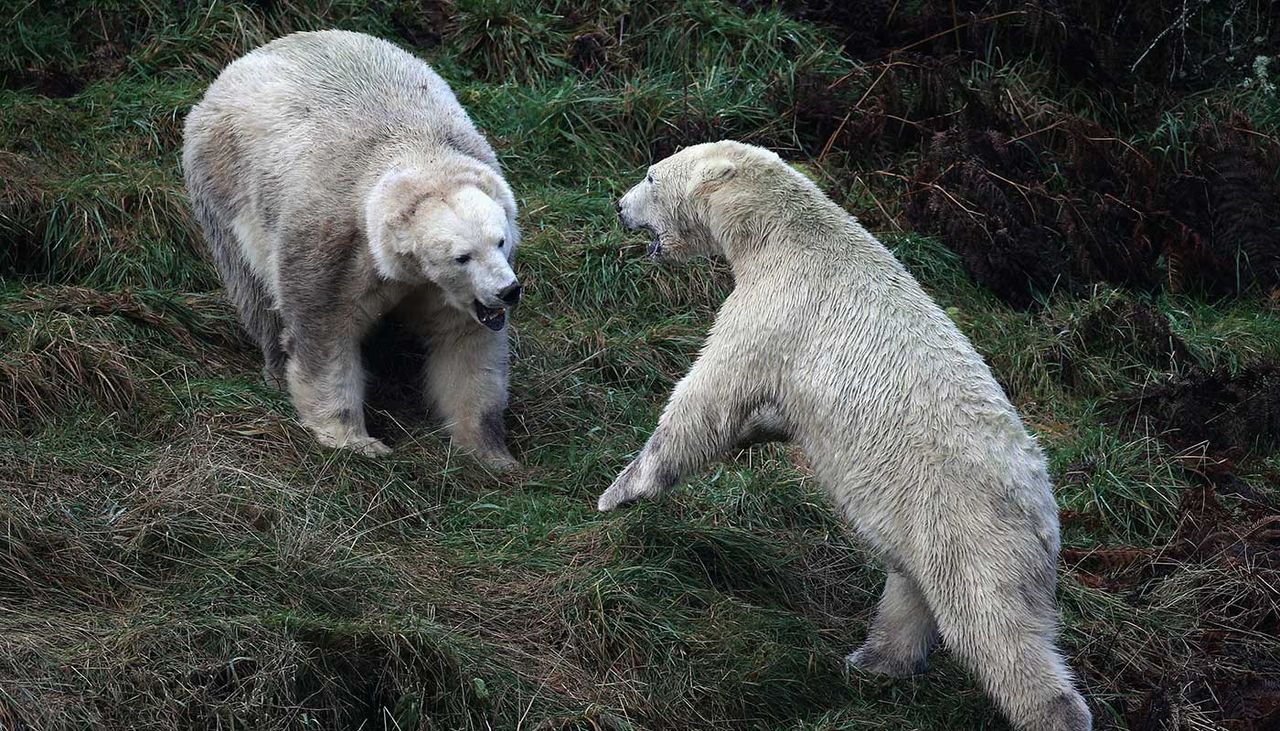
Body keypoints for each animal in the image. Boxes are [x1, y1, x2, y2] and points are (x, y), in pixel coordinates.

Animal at [184, 31, 519, 465]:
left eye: (500, 240)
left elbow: (465, 346)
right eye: (462, 256)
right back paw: (273, 367)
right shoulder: (332, 248)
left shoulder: (444, 290)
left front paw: (491, 455)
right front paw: (355, 441)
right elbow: (323, 338)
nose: (508, 291)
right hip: (224, 186)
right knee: (252, 289)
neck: (415, 151)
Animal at [596, 141, 1090, 731]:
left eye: (651, 177)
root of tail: (1045, 516)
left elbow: (707, 396)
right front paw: (753, 434)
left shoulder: (775, 309)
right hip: (924, 525)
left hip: (970, 530)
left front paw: (622, 489)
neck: (788, 235)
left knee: (996, 631)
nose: (619, 206)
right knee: (910, 588)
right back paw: (871, 662)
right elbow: (768, 412)